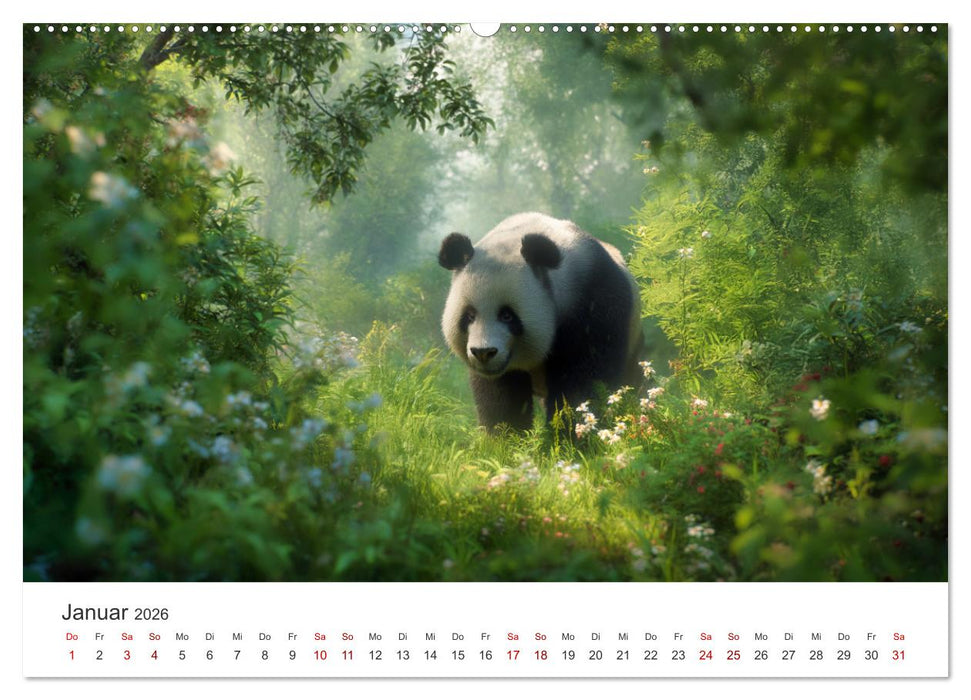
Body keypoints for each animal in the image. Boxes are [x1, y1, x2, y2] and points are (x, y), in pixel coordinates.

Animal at [439, 212, 643, 432]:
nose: (483, 352)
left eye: (507, 315)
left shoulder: (593, 302)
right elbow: (499, 397)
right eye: (469, 316)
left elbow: (586, 378)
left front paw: (570, 432)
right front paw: (506, 435)